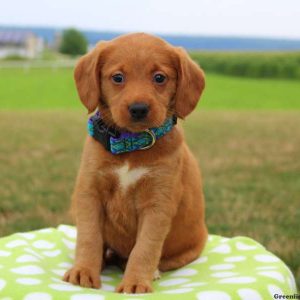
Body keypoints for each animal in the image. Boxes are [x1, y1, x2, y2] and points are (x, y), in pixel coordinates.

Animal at [62, 32, 209, 292]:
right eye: (118, 77)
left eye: (159, 78)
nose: (138, 109)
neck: (130, 146)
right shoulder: (89, 194)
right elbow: (89, 237)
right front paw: (84, 270)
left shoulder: (158, 205)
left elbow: (145, 248)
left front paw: (136, 282)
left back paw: (152, 272)